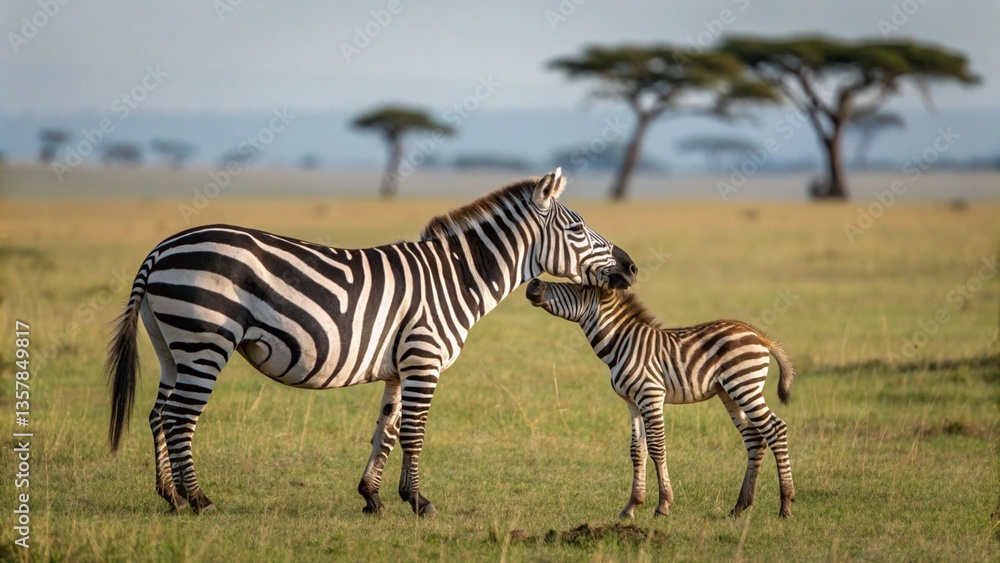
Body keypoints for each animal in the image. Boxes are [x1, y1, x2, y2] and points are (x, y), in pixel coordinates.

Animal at [106, 169, 639, 516]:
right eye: (577, 228)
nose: (632, 267)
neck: (458, 277)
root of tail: (161, 249)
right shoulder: (424, 357)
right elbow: (415, 432)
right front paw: (419, 502)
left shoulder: (401, 366)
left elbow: (386, 430)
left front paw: (374, 497)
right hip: (206, 338)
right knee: (180, 417)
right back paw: (199, 500)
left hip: (171, 345)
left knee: (158, 413)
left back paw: (171, 497)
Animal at [525, 279, 795, 518]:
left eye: (579, 286)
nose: (534, 283)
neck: (621, 344)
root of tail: (759, 335)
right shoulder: (632, 403)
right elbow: (637, 450)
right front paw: (631, 506)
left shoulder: (651, 395)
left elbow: (657, 447)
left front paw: (663, 505)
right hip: (729, 393)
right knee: (754, 438)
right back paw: (740, 507)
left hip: (744, 385)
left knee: (775, 429)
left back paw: (785, 505)